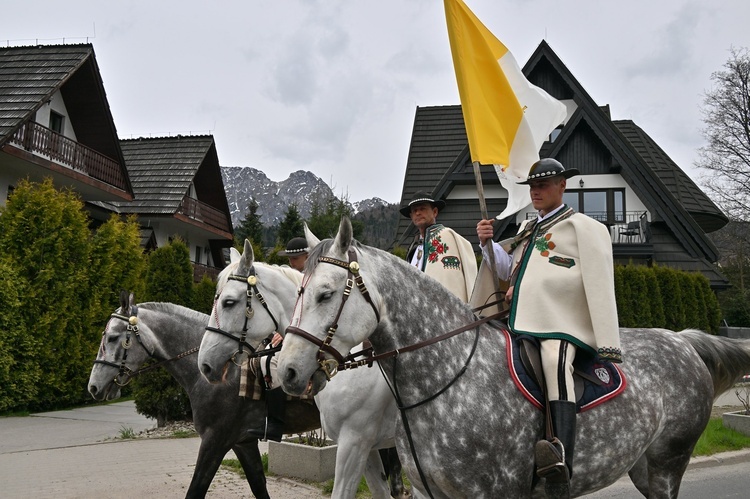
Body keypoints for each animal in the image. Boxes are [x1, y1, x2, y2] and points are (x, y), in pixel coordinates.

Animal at [88, 292, 320, 499]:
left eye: (112, 337)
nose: (93, 387)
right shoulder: (242, 442)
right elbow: (258, 487)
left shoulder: (214, 440)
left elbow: (196, 490)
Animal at [278, 218, 750, 499]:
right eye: (297, 292)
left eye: (325, 294)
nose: (288, 370)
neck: (447, 378)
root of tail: (682, 340)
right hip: (644, 467)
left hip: (669, 463)